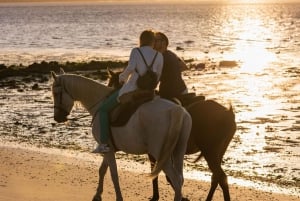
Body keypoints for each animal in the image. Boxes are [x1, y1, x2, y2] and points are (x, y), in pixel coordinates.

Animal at [51, 69, 192, 201]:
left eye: (56, 93)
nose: (57, 118)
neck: (100, 103)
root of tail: (176, 110)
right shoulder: (108, 148)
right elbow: (102, 170)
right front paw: (97, 195)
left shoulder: (109, 150)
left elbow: (113, 175)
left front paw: (118, 197)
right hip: (178, 151)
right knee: (180, 179)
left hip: (161, 154)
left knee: (175, 180)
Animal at [106, 69, 236, 201]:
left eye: (110, 83)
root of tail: (228, 112)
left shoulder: (155, 152)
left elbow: (160, 173)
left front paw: (162, 196)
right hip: (217, 152)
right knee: (216, 177)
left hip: (210, 152)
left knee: (221, 177)